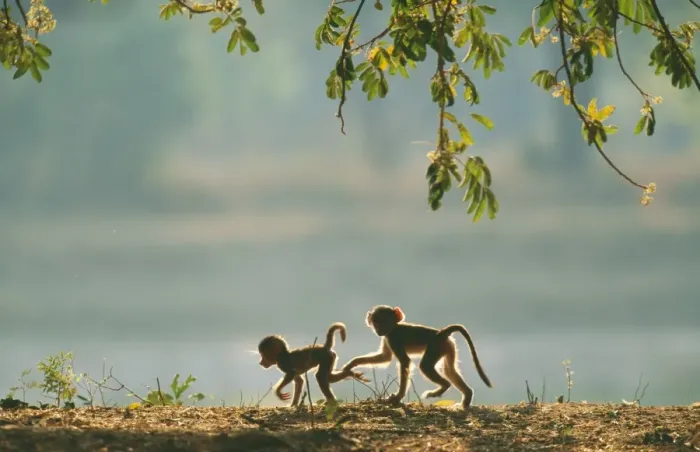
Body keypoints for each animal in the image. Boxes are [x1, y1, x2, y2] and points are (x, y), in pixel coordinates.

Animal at [341, 305, 492, 411]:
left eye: (384, 321)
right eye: (376, 322)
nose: (379, 330)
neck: (393, 328)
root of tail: (441, 332)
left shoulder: (393, 338)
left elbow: (404, 361)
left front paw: (397, 398)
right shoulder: (386, 338)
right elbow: (385, 357)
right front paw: (352, 364)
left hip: (435, 346)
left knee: (426, 366)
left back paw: (444, 387)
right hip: (448, 346)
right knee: (449, 370)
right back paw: (466, 398)